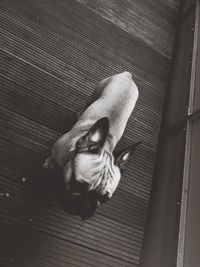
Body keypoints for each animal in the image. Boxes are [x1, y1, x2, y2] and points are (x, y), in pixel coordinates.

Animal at [43, 71, 141, 220]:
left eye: (105, 199)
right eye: (78, 185)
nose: (88, 206)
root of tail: (128, 76)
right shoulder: (57, 152)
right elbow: (53, 158)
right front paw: (49, 163)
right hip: (96, 91)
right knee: (88, 102)